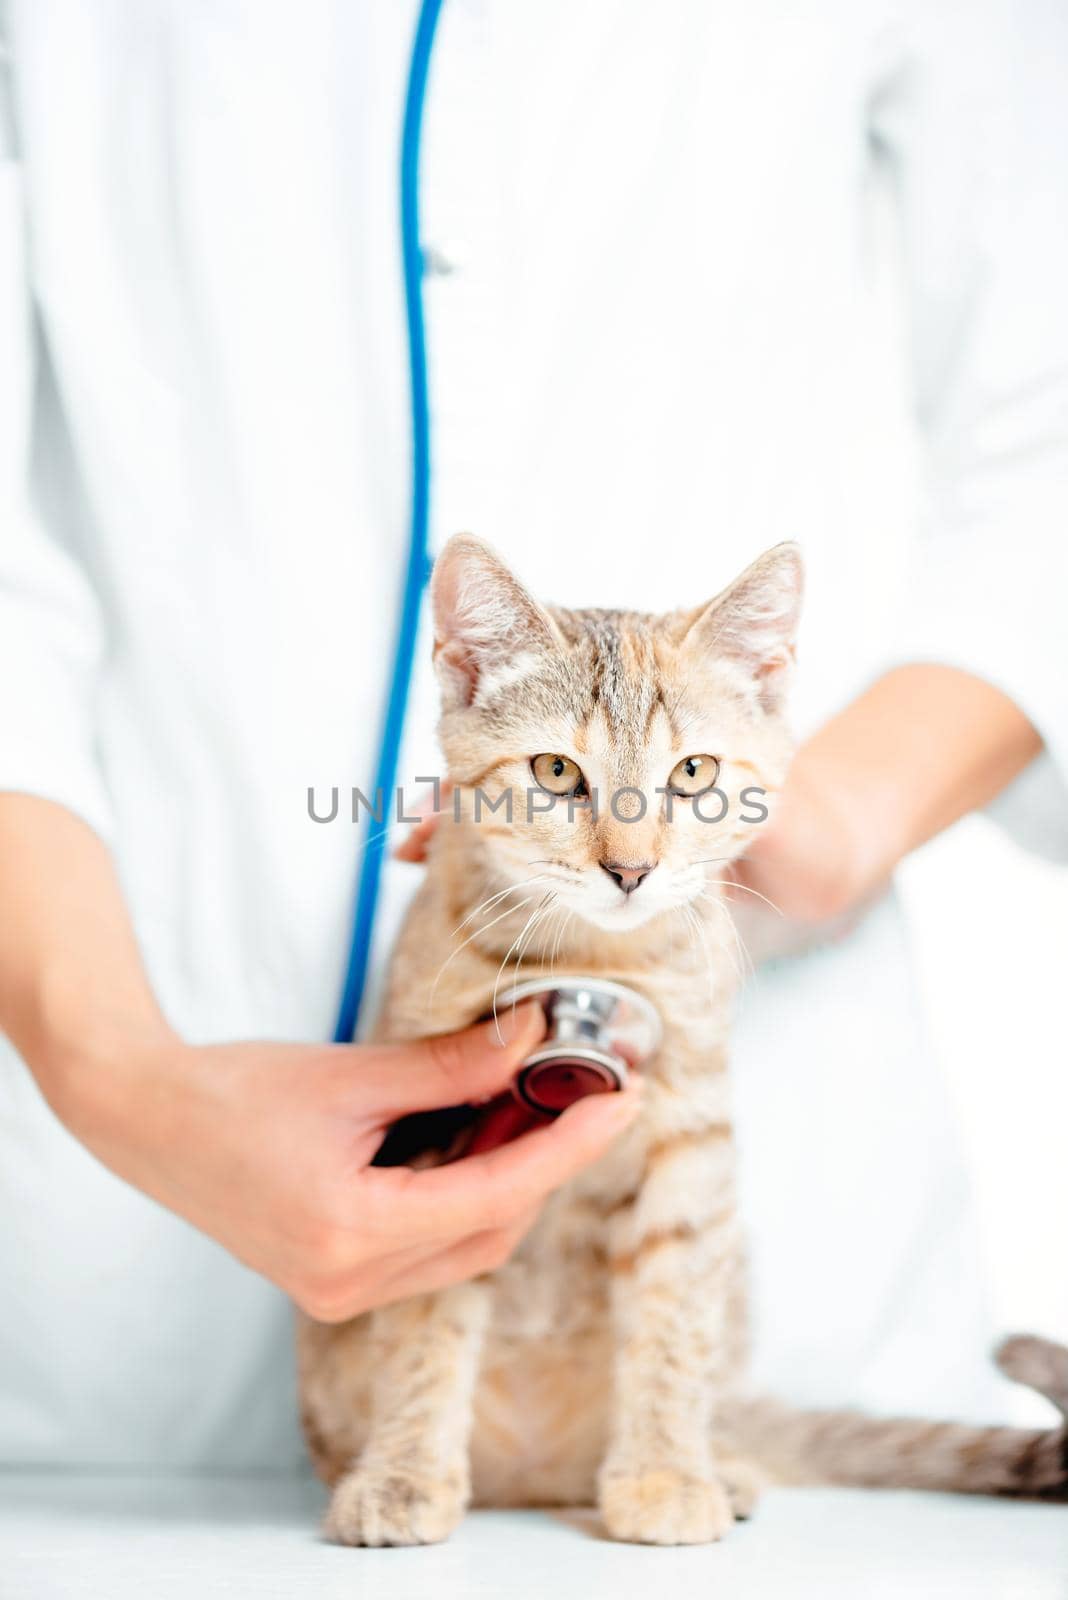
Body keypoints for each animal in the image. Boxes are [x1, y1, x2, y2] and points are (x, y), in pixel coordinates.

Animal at [295, 540, 1068, 1548]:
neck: (597, 957)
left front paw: (664, 1471)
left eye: (694, 773)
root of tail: (534, 1475)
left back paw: (718, 1462)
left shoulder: (692, 1142)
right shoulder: (434, 1138)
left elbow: (670, 1324)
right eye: (555, 771)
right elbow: (424, 1326)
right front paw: (403, 1471)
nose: (630, 868)